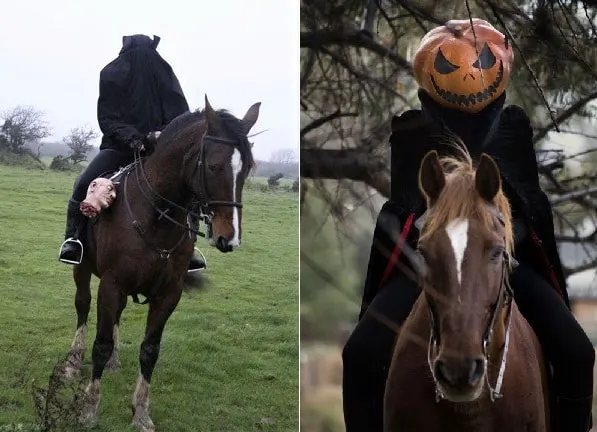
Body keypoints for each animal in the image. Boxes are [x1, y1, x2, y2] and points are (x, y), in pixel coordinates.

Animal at [61, 96, 262, 430]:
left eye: (245, 168)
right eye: (214, 166)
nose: (229, 238)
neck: (155, 214)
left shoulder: (168, 293)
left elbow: (149, 351)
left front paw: (141, 412)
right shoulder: (111, 284)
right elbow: (100, 344)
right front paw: (89, 408)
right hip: (83, 269)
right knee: (82, 306)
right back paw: (73, 362)